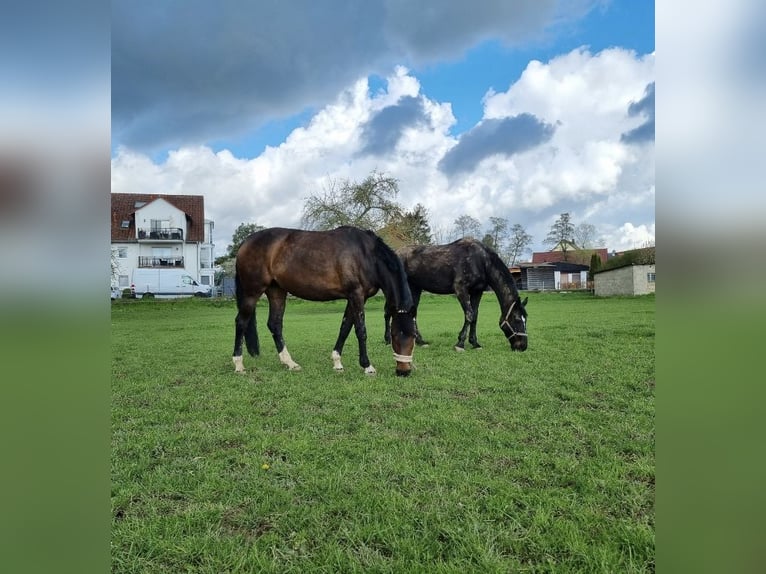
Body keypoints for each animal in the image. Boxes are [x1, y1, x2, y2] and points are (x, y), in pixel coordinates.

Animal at [234, 225, 416, 378]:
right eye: (394, 336)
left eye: (414, 337)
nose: (403, 371)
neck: (366, 255)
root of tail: (246, 242)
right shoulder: (356, 295)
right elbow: (361, 331)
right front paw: (367, 366)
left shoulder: (356, 298)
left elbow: (345, 328)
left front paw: (337, 362)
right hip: (252, 292)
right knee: (241, 322)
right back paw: (238, 365)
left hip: (276, 291)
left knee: (275, 324)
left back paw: (290, 363)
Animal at [384, 237, 528, 352]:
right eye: (517, 320)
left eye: (525, 319)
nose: (522, 346)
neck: (480, 261)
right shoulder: (461, 290)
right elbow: (469, 315)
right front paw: (460, 344)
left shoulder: (477, 292)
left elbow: (475, 316)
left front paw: (475, 343)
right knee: (387, 311)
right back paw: (388, 340)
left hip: (415, 288)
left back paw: (420, 341)